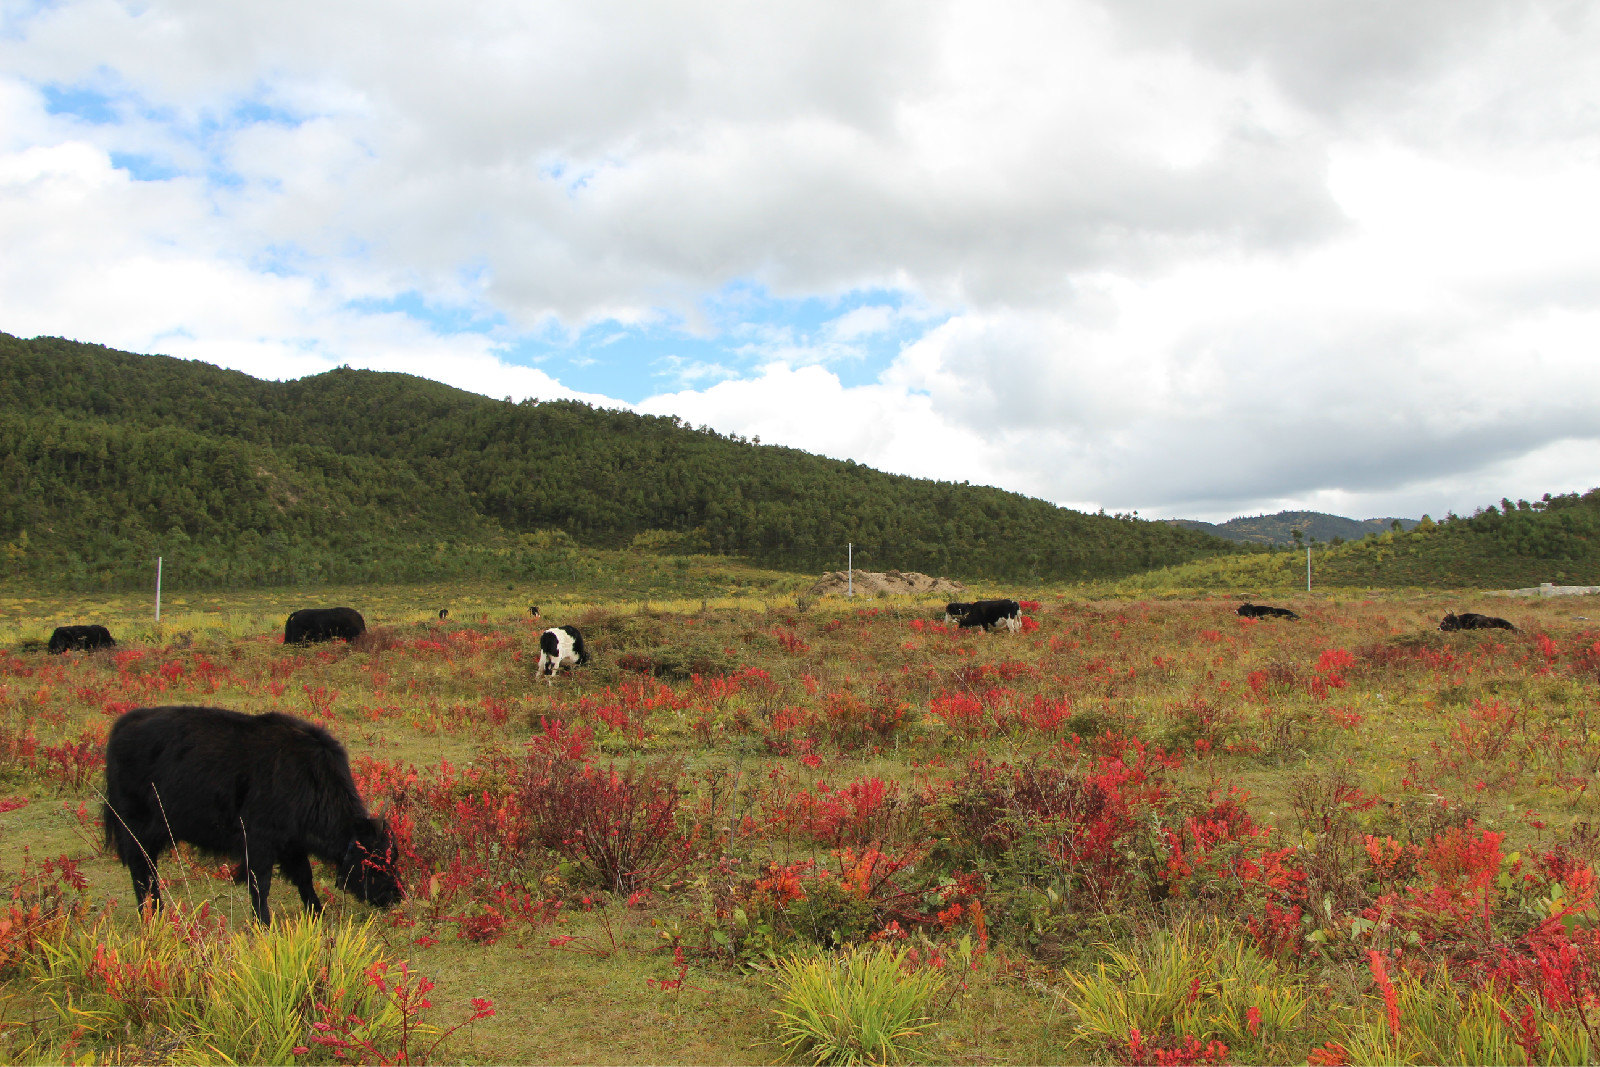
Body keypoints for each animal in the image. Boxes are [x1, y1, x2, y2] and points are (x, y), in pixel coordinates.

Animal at [103, 703, 403, 921]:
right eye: (373, 861)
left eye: (394, 856)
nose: (396, 895)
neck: (308, 777)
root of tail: (123, 726)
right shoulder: (260, 844)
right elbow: (261, 884)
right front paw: (264, 923)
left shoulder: (291, 845)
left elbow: (304, 878)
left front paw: (317, 913)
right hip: (136, 831)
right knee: (141, 871)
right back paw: (151, 915)